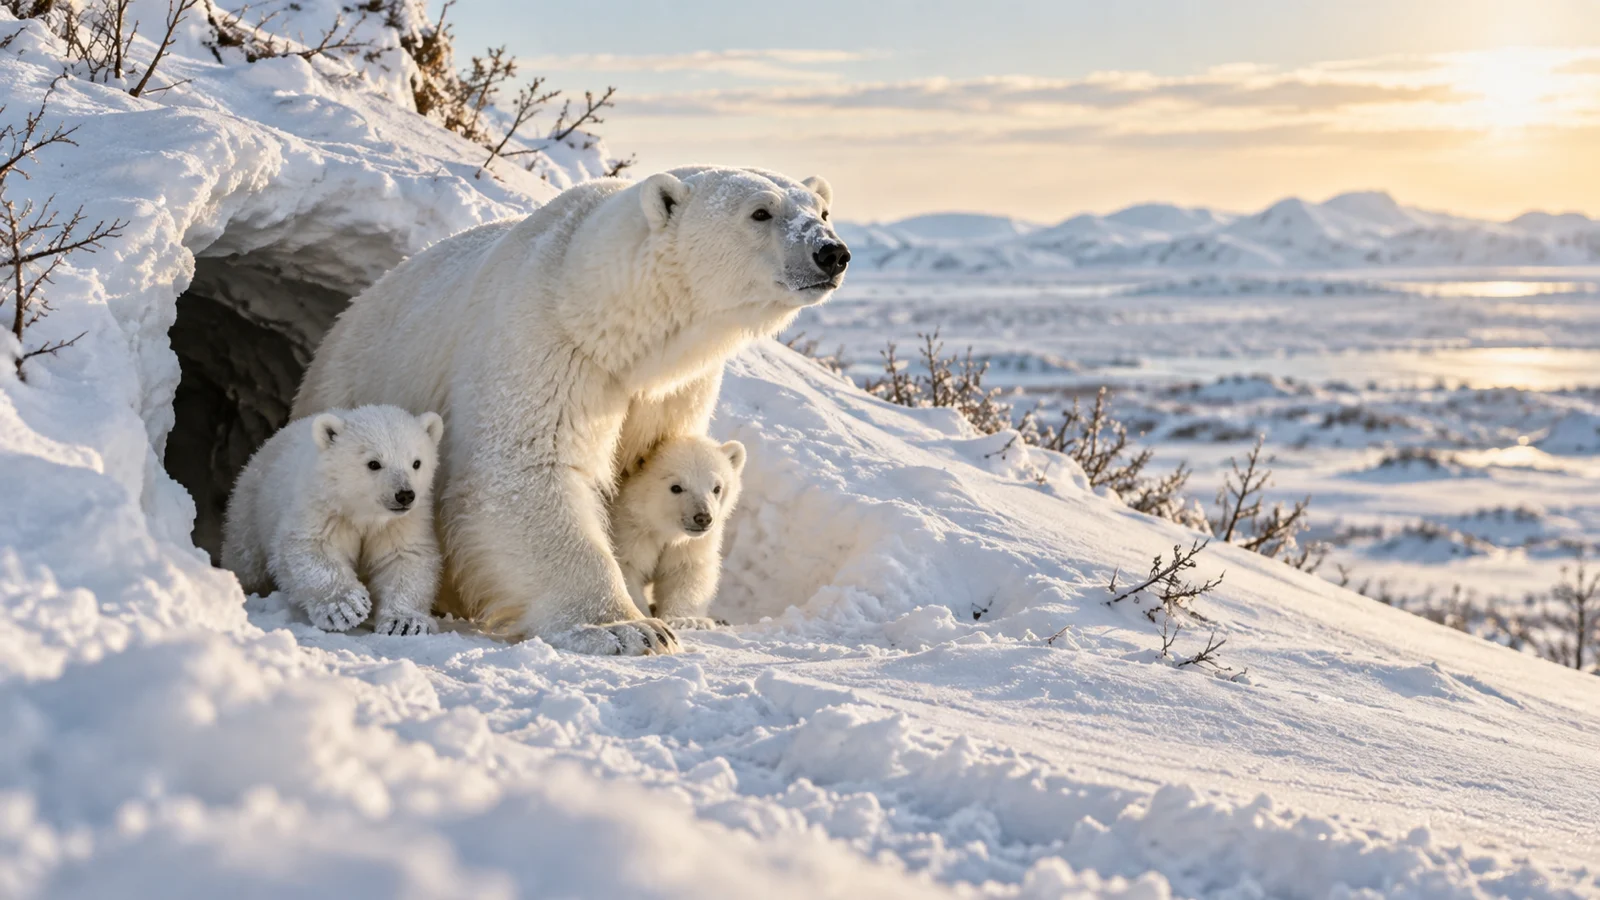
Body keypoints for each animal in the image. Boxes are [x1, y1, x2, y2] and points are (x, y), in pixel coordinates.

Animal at [221, 405, 445, 636]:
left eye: (416, 463)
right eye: (374, 463)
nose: (404, 495)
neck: (362, 511)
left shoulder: (400, 522)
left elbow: (405, 557)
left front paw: (406, 623)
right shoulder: (324, 508)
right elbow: (312, 547)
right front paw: (345, 607)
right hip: (250, 507)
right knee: (246, 558)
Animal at [609, 436, 746, 631]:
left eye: (717, 488)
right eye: (676, 487)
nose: (703, 517)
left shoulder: (689, 543)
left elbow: (686, 571)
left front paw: (687, 620)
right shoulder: (628, 532)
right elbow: (627, 568)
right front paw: (643, 615)